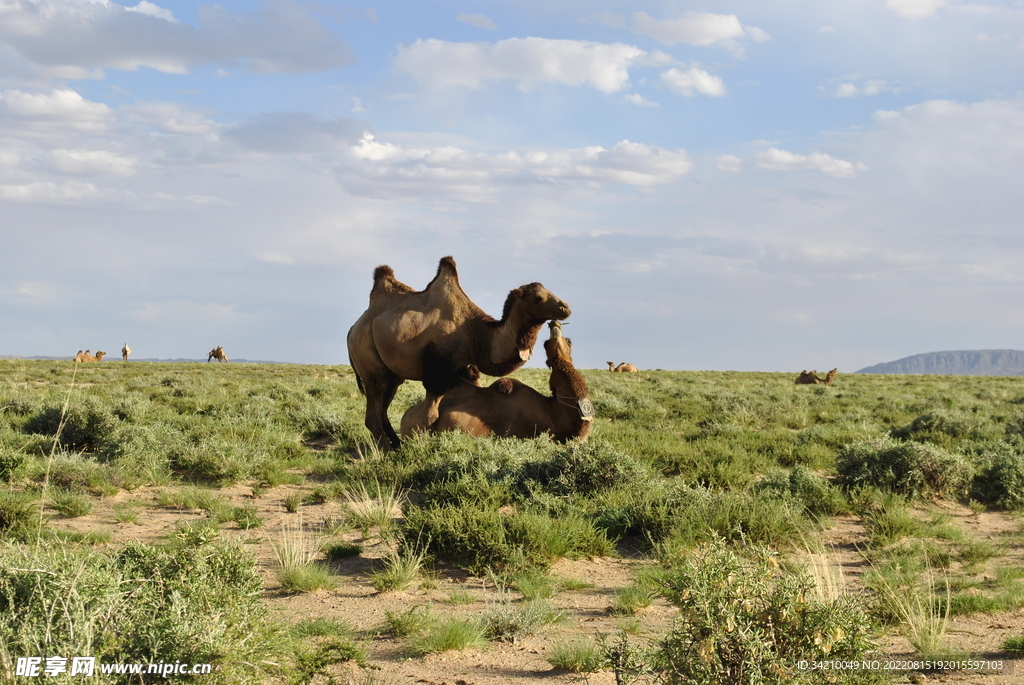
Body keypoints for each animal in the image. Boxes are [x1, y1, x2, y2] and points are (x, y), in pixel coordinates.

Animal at [348, 254, 573, 448]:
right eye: (537, 298)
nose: (565, 308)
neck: (475, 333)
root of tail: (353, 329)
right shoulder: (437, 371)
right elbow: (429, 416)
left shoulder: (466, 367)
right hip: (367, 357)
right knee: (374, 408)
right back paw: (389, 451)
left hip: (393, 374)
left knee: (383, 409)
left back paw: (396, 446)